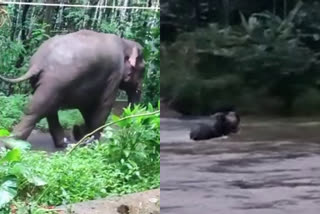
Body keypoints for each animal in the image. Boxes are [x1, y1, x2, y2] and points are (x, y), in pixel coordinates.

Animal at [0, 29, 145, 148]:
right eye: (143, 70)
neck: (125, 42)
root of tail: (39, 62)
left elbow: (87, 107)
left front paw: (85, 139)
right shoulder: (114, 75)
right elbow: (103, 106)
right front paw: (92, 144)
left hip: (45, 82)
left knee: (49, 108)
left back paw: (63, 143)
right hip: (57, 80)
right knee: (37, 108)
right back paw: (13, 143)